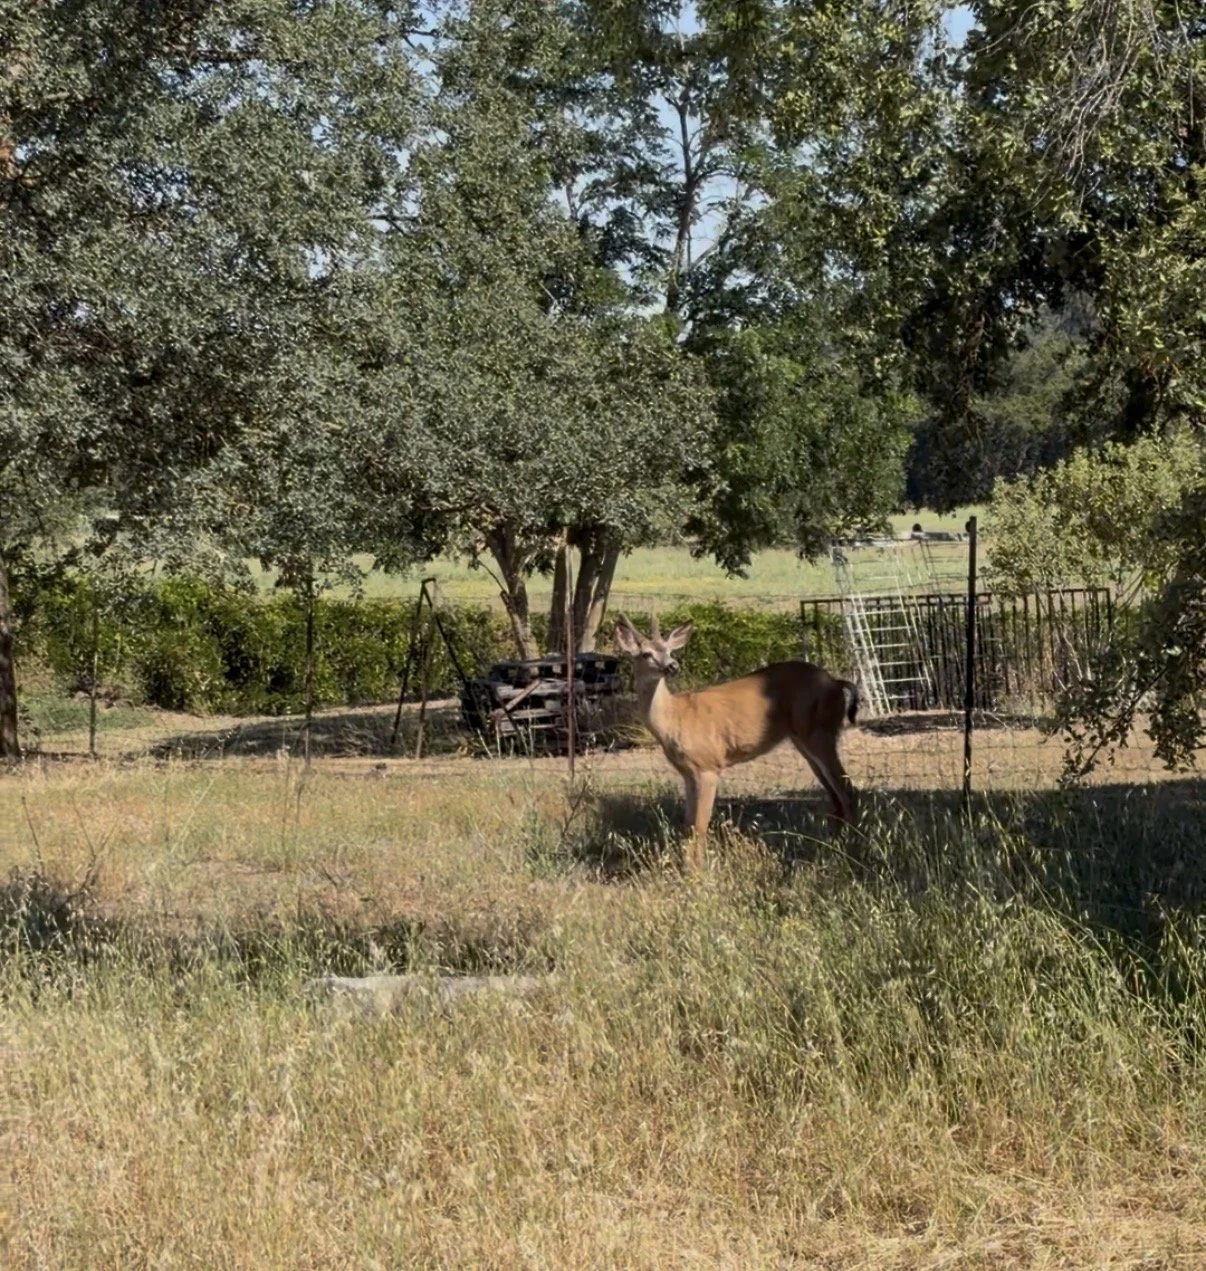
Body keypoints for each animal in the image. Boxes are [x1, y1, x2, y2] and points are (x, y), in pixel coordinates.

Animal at [614, 614, 859, 868]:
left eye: (670, 650)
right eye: (646, 653)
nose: (672, 666)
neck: (675, 719)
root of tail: (836, 683)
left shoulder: (708, 766)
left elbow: (700, 826)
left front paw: (699, 871)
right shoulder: (688, 772)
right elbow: (688, 825)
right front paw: (686, 868)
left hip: (819, 733)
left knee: (848, 791)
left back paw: (851, 851)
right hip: (804, 740)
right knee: (836, 796)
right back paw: (834, 848)